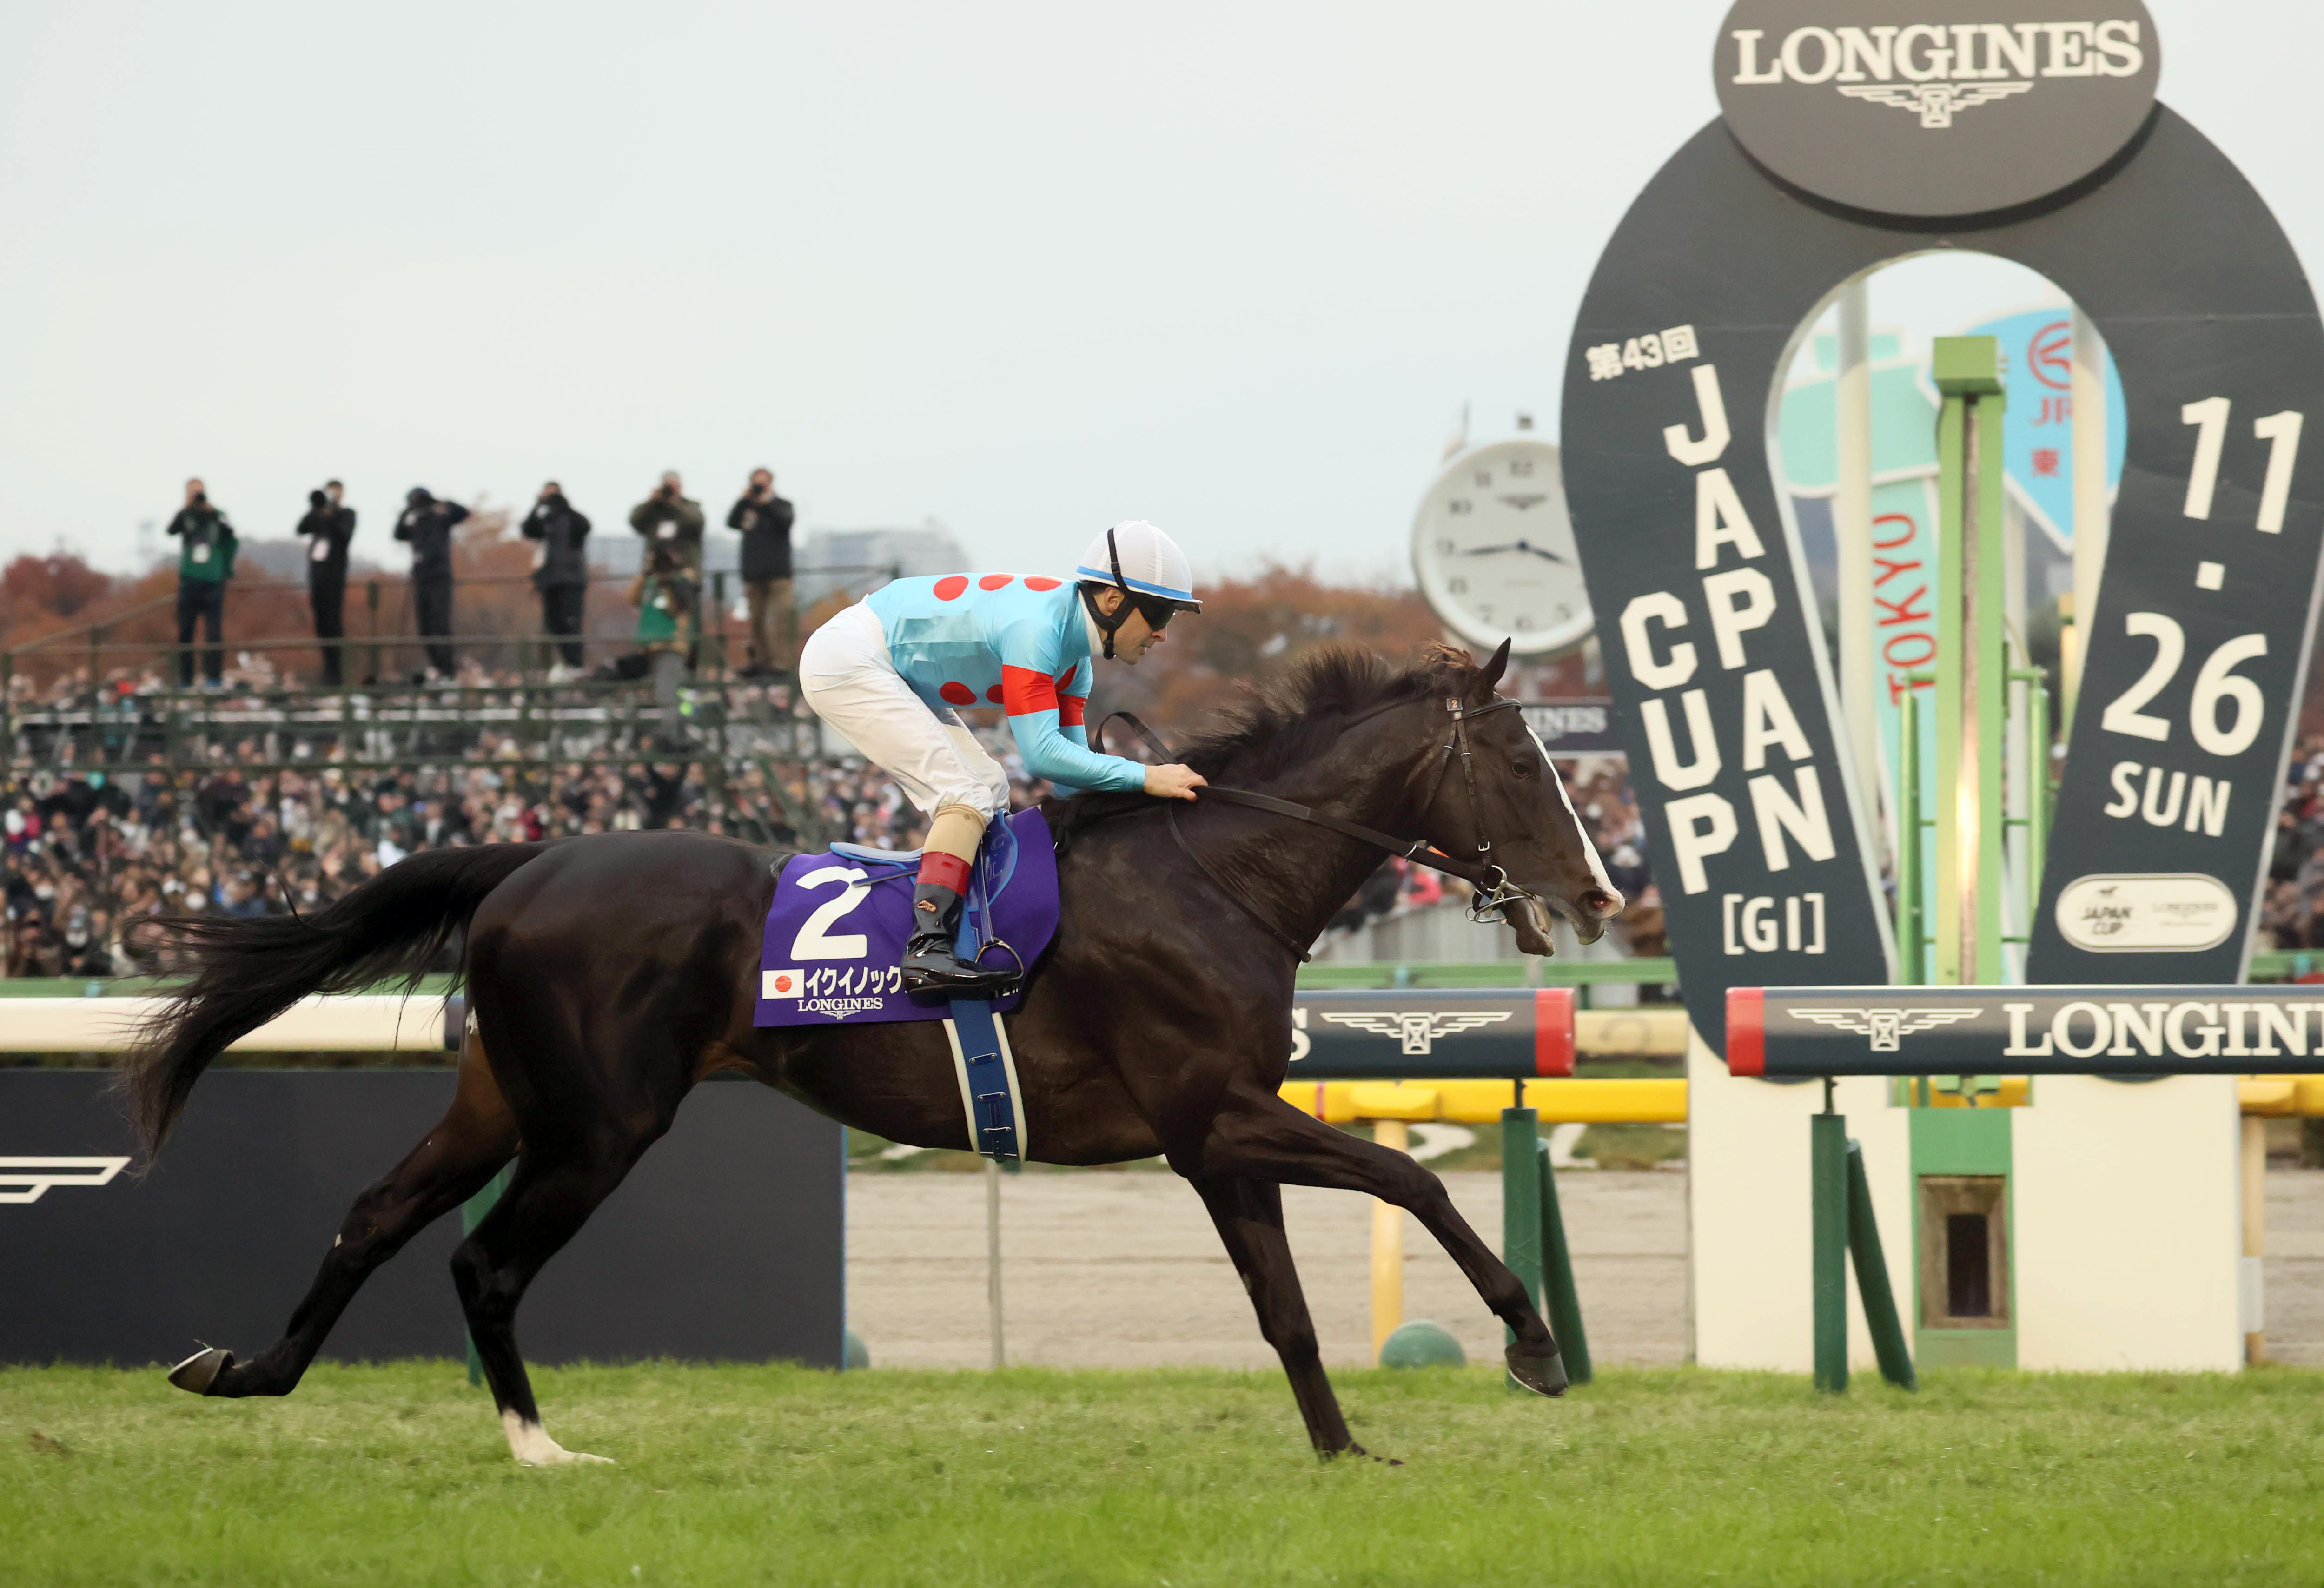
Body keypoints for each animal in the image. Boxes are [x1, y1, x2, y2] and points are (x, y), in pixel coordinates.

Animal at [120, 638, 1623, 1464]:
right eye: (1522, 765)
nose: (1605, 895)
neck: (1212, 877)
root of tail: (531, 858)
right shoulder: (1213, 1113)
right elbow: (1412, 1183)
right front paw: (1532, 1345)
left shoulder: (1215, 1136)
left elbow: (1287, 1307)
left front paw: (1342, 1449)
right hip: (599, 1124)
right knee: (483, 1260)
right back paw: (541, 1445)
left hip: (505, 1097)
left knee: (375, 1215)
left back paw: (244, 1371)